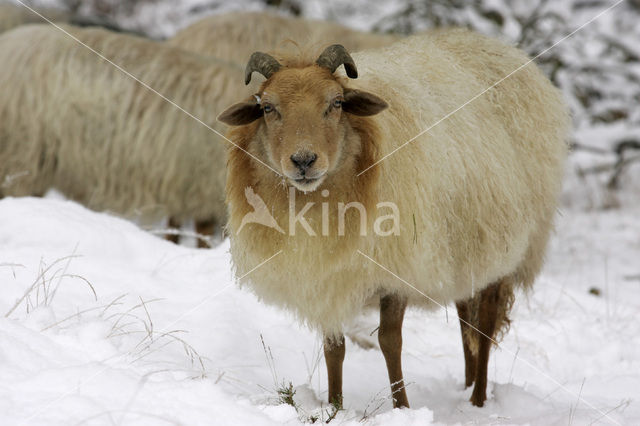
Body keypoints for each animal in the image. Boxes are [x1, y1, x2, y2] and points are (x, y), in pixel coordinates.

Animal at [218, 30, 568, 410]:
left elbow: (390, 342)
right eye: (268, 108)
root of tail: (502, 47)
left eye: (336, 103)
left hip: (508, 243)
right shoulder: (327, 276)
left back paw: (477, 400)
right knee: (466, 317)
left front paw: (402, 407)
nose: (304, 161)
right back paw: (467, 385)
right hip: (465, 244)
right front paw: (336, 407)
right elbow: (334, 348)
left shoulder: (397, 266)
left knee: (485, 323)